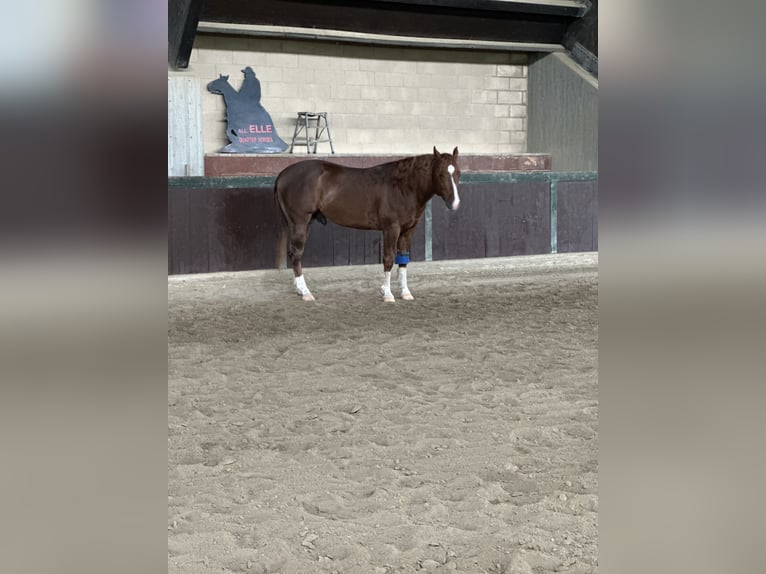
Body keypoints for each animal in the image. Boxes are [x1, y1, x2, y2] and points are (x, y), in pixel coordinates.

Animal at [274, 146, 461, 302]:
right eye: (441, 174)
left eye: (458, 173)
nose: (455, 203)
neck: (404, 186)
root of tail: (283, 174)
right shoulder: (391, 228)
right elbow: (389, 259)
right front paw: (387, 293)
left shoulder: (408, 230)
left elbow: (403, 259)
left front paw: (405, 292)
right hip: (300, 222)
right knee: (296, 254)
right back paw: (306, 292)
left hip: (305, 223)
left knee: (294, 254)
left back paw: (299, 289)